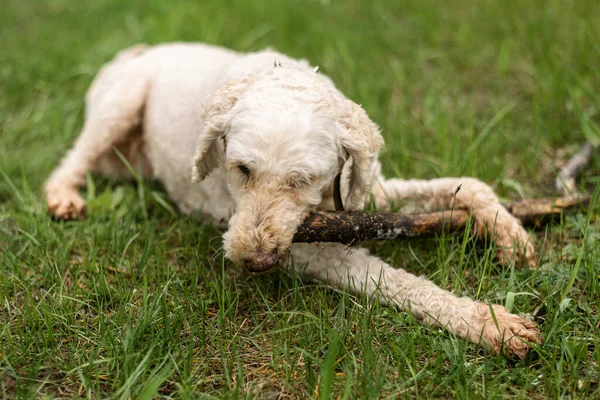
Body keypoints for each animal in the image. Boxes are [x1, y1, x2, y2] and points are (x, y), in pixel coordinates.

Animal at [45, 42, 540, 358]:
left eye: (305, 179)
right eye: (241, 169)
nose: (255, 261)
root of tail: (136, 51)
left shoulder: (366, 191)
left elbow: (469, 186)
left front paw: (509, 235)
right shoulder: (309, 251)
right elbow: (400, 281)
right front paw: (487, 322)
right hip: (121, 102)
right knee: (70, 159)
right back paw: (63, 196)